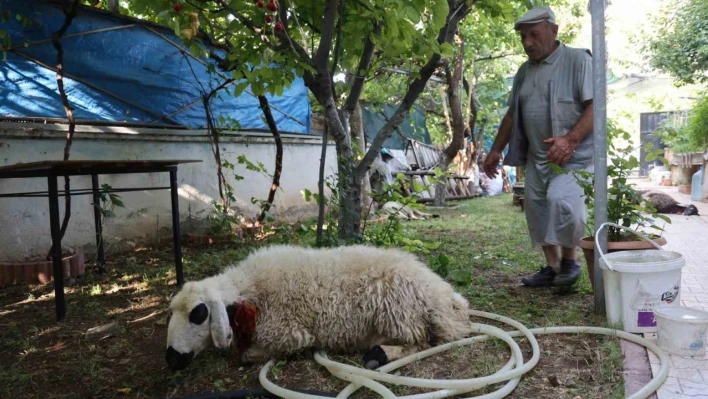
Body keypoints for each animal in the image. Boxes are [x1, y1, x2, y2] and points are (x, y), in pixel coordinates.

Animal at [165, 244, 472, 372]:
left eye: (199, 313)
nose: (172, 358)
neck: (251, 290)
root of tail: (446, 298)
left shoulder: (289, 334)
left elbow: (249, 355)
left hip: (397, 312)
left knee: (421, 342)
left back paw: (378, 355)